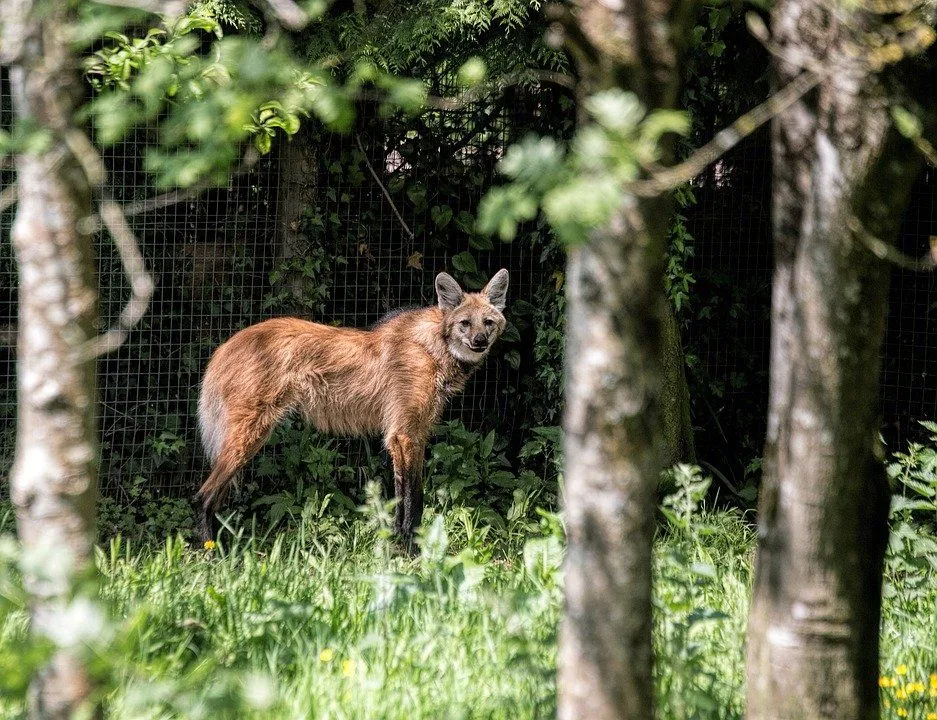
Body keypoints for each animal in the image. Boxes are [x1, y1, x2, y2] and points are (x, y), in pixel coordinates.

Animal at [196, 269, 509, 545]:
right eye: (464, 323)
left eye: (488, 322)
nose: (479, 341)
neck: (434, 348)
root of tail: (226, 345)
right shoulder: (405, 434)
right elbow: (412, 498)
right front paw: (412, 551)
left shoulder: (410, 434)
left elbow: (404, 497)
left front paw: (399, 547)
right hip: (250, 433)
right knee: (204, 495)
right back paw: (214, 554)